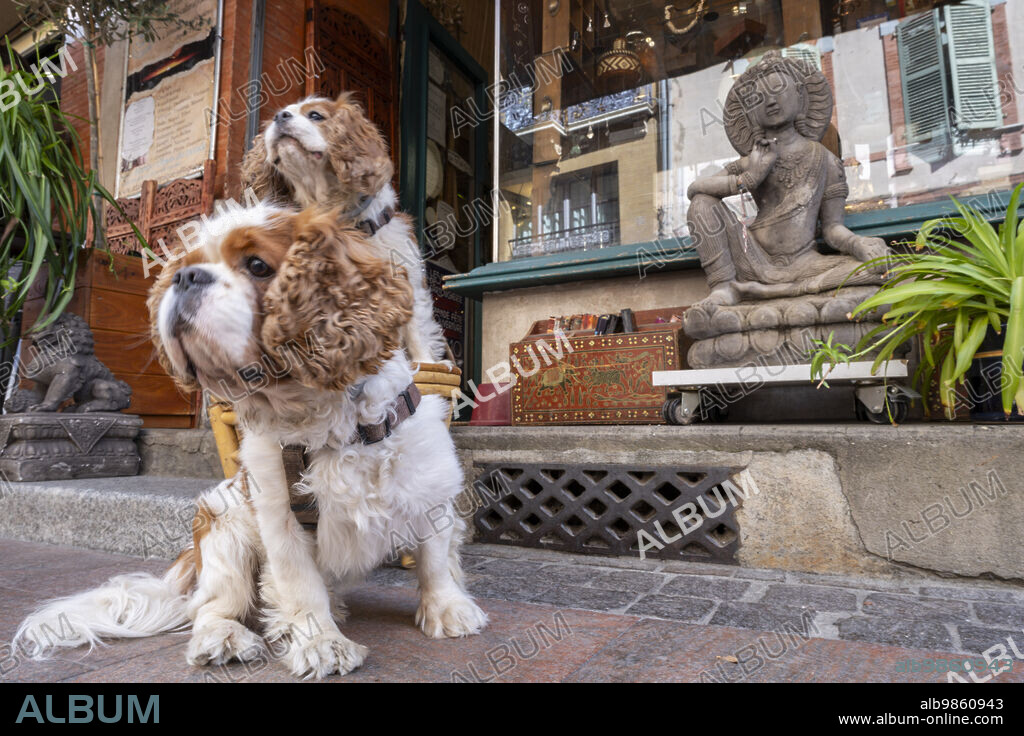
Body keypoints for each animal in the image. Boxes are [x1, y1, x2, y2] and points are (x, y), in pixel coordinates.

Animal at [14, 205, 487, 679]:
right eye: (183, 267)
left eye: (258, 265)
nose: (185, 277)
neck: (329, 421)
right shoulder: (279, 520)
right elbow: (300, 585)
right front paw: (320, 642)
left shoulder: (430, 490)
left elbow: (435, 559)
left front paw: (448, 610)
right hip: (224, 533)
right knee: (208, 609)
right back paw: (224, 638)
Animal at [243, 93, 448, 366]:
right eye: (280, 113)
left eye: (315, 115)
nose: (280, 116)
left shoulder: (407, 277)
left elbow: (416, 330)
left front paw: (427, 364)